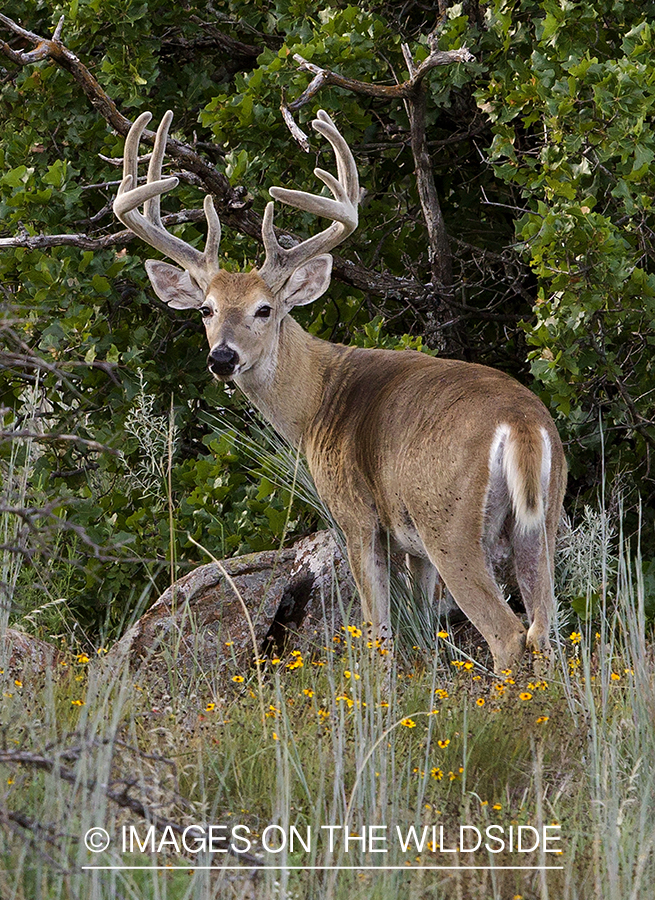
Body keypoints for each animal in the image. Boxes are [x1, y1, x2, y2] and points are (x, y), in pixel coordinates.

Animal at [111, 109, 564, 672]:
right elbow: (425, 629)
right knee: (545, 630)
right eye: (206, 309)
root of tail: (522, 425)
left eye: (265, 308)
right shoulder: (411, 545)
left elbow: (379, 635)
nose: (222, 359)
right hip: (542, 522)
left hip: (450, 523)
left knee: (508, 634)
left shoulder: (355, 513)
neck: (318, 402)